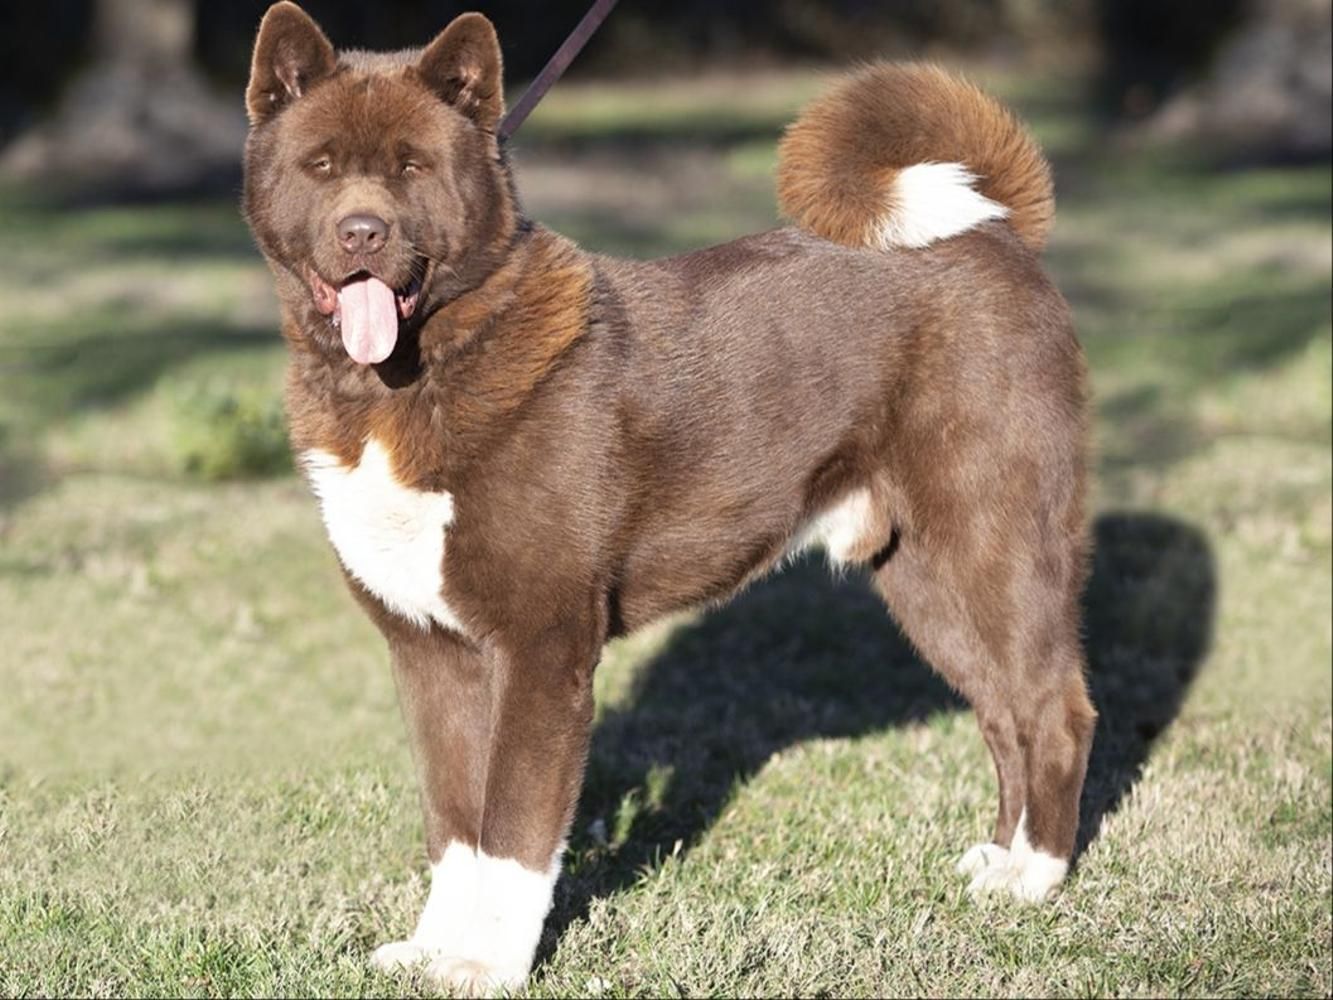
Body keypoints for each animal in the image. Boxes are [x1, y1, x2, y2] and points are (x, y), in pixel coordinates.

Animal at [245, 5, 1098, 997]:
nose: (362, 232)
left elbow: (511, 837)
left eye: (413, 166)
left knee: (1053, 710)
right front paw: (431, 950)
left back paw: (1037, 878)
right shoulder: (429, 651)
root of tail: (998, 231)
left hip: (991, 541)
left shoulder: (542, 654)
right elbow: (454, 827)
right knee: (1003, 712)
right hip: (924, 576)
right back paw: (1001, 861)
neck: (406, 378)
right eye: (322, 166)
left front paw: (488, 964)